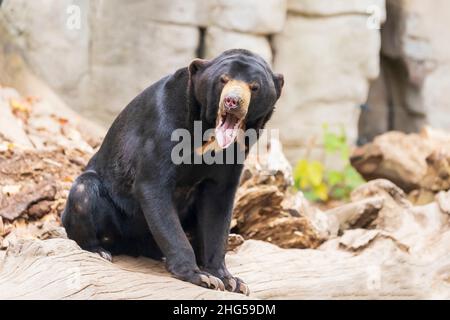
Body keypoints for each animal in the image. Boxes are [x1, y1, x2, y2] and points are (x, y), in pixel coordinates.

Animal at [61, 48, 284, 294]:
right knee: (84, 192)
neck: (207, 133)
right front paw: (201, 276)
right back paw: (100, 250)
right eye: (223, 80)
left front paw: (231, 280)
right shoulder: (163, 127)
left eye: (254, 86)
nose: (232, 101)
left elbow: (218, 207)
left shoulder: (235, 154)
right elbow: (153, 187)